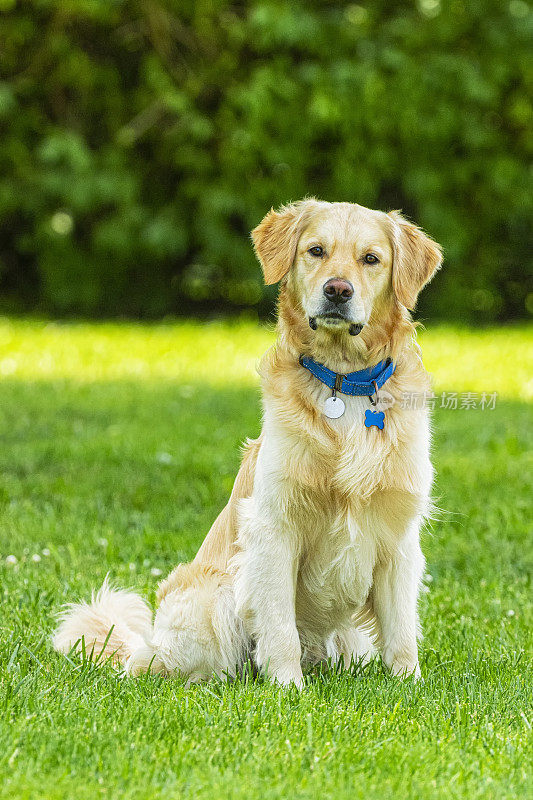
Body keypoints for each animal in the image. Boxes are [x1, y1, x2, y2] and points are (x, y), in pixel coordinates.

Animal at [55, 200, 440, 688]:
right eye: (316, 250)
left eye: (370, 259)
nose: (337, 290)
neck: (343, 383)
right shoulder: (273, 529)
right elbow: (279, 627)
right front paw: (287, 688)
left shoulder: (399, 536)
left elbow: (402, 630)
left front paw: (409, 685)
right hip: (214, 597)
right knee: (167, 668)